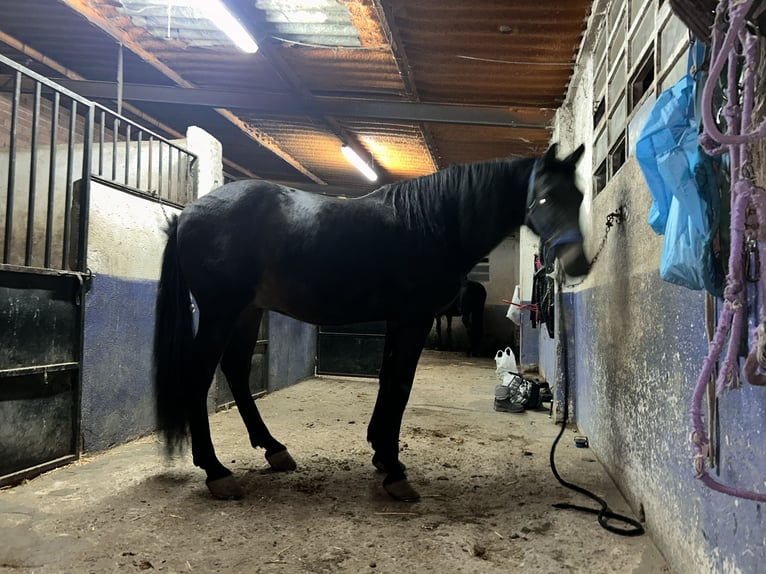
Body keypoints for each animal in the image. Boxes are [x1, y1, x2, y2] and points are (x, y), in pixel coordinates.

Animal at [154, 144, 588, 504]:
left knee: (237, 370)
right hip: (220, 312)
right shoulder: (414, 319)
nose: (578, 263)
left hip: (247, 311)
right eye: (544, 197)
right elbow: (400, 385)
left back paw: (274, 449)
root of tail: (186, 214)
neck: (431, 223)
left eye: (581, 197)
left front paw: (381, 454)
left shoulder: (400, 321)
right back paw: (216, 472)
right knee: (199, 376)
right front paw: (395, 473)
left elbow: (387, 381)